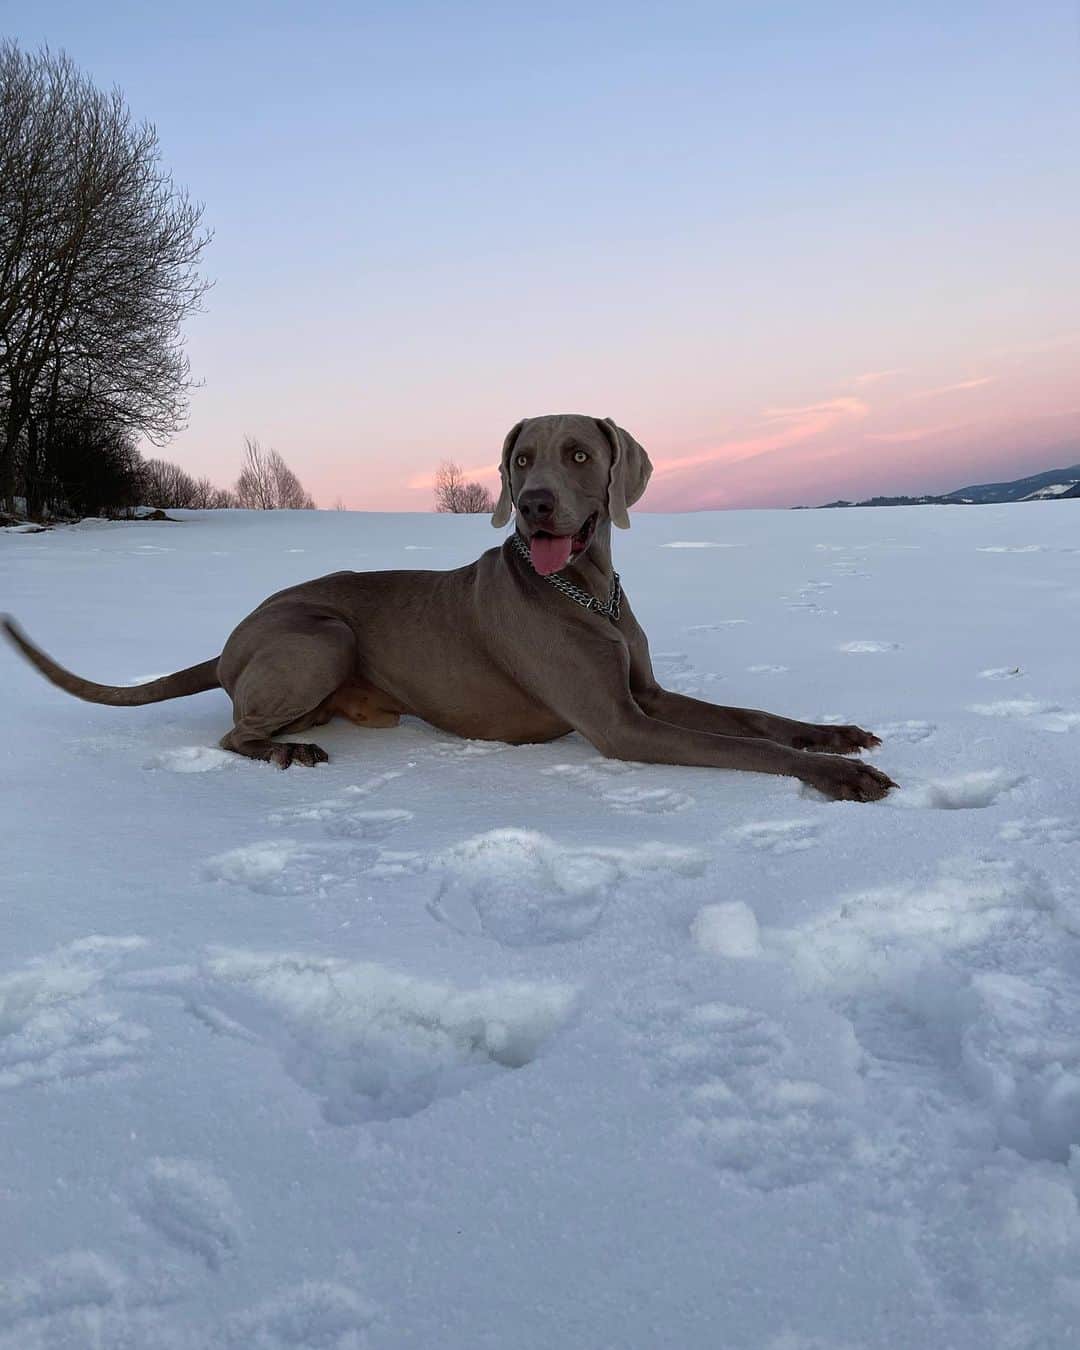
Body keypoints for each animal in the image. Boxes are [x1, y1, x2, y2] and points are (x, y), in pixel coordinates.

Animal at [0, 410, 896, 799]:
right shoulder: (621, 725)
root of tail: (228, 642)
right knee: (232, 733)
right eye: (522, 458)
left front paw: (834, 734)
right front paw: (840, 775)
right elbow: (746, 748)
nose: (532, 504)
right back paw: (287, 752)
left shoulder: (645, 692)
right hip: (319, 632)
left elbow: (754, 719)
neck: (587, 590)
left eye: (579, 454)